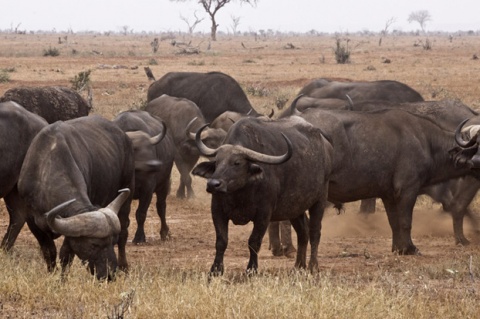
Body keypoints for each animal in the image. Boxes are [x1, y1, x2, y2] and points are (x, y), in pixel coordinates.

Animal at [16, 115, 137, 280]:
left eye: (113, 241)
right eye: (94, 244)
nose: (109, 274)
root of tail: (125, 137)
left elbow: (66, 254)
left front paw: (62, 279)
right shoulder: (31, 220)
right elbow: (49, 251)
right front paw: (52, 274)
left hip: (128, 190)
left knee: (124, 231)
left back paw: (124, 267)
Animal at [113, 111, 175, 244]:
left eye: (150, 148)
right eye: (135, 149)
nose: (155, 165)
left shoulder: (148, 189)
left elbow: (140, 213)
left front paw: (139, 237)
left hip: (164, 183)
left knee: (161, 207)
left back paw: (164, 232)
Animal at [191, 115, 334, 276]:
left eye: (237, 163)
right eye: (216, 162)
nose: (213, 184)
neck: (240, 193)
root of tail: (326, 145)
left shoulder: (263, 215)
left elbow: (254, 242)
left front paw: (251, 270)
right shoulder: (217, 211)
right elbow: (221, 241)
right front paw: (215, 270)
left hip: (320, 200)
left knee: (315, 232)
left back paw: (313, 266)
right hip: (295, 208)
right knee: (303, 233)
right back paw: (298, 266)